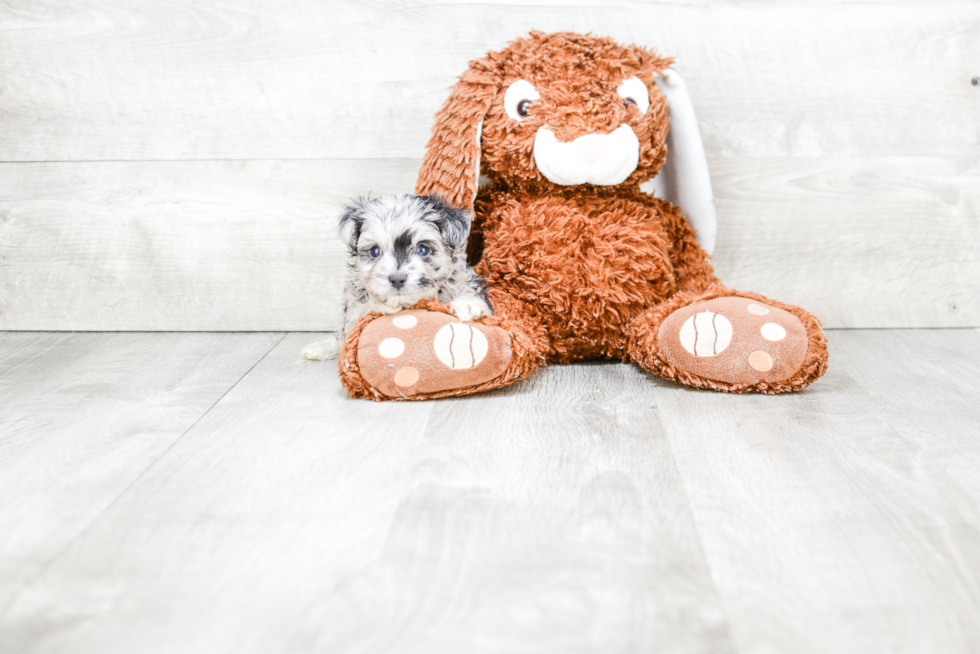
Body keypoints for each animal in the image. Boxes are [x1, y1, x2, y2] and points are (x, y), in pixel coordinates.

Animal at [302, 195, 494, 362]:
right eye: (375, 251)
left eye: (423, 249)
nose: (397, 279)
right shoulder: (353, 309)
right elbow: (357, 317)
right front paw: (381, 304)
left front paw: (468, 303)